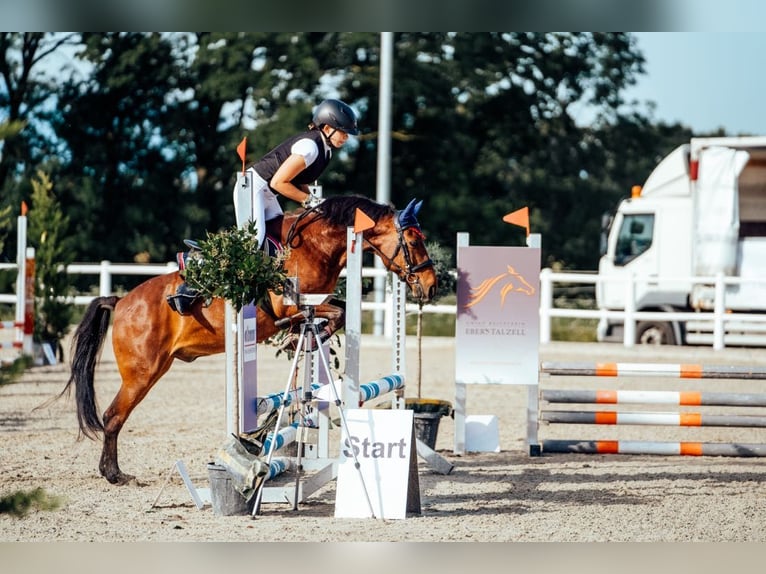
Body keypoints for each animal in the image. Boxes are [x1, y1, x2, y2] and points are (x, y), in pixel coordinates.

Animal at [63, 195, 438, 486]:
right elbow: (330, 313)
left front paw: (301, 339)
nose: (431, 286)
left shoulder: (314, 301)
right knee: (113, 416)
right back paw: (114, 474)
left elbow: (339, 312)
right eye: (414, 241)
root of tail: (122, 300)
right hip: (142, 373)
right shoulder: (290, 302)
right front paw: (296, 336)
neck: (316, 246)